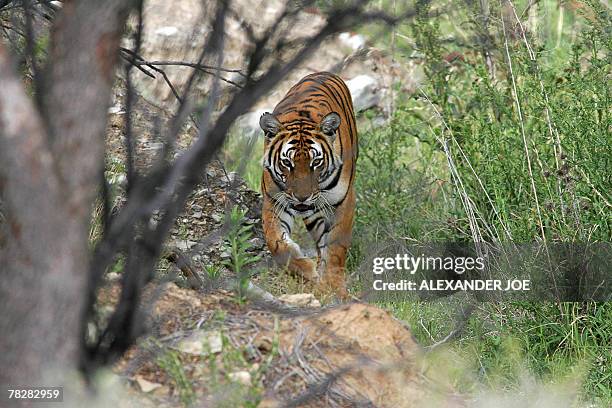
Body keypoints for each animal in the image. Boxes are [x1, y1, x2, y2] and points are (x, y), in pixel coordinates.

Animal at [260, 71, 356, 298]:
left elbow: (336, 249)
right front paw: (308, 271)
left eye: (316, 162)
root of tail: (321, 72)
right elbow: (276, 243)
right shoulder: (273, 202)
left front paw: (335, 287)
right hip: (314, 216)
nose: (302, 197)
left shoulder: (344, 202)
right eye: (287, 163)